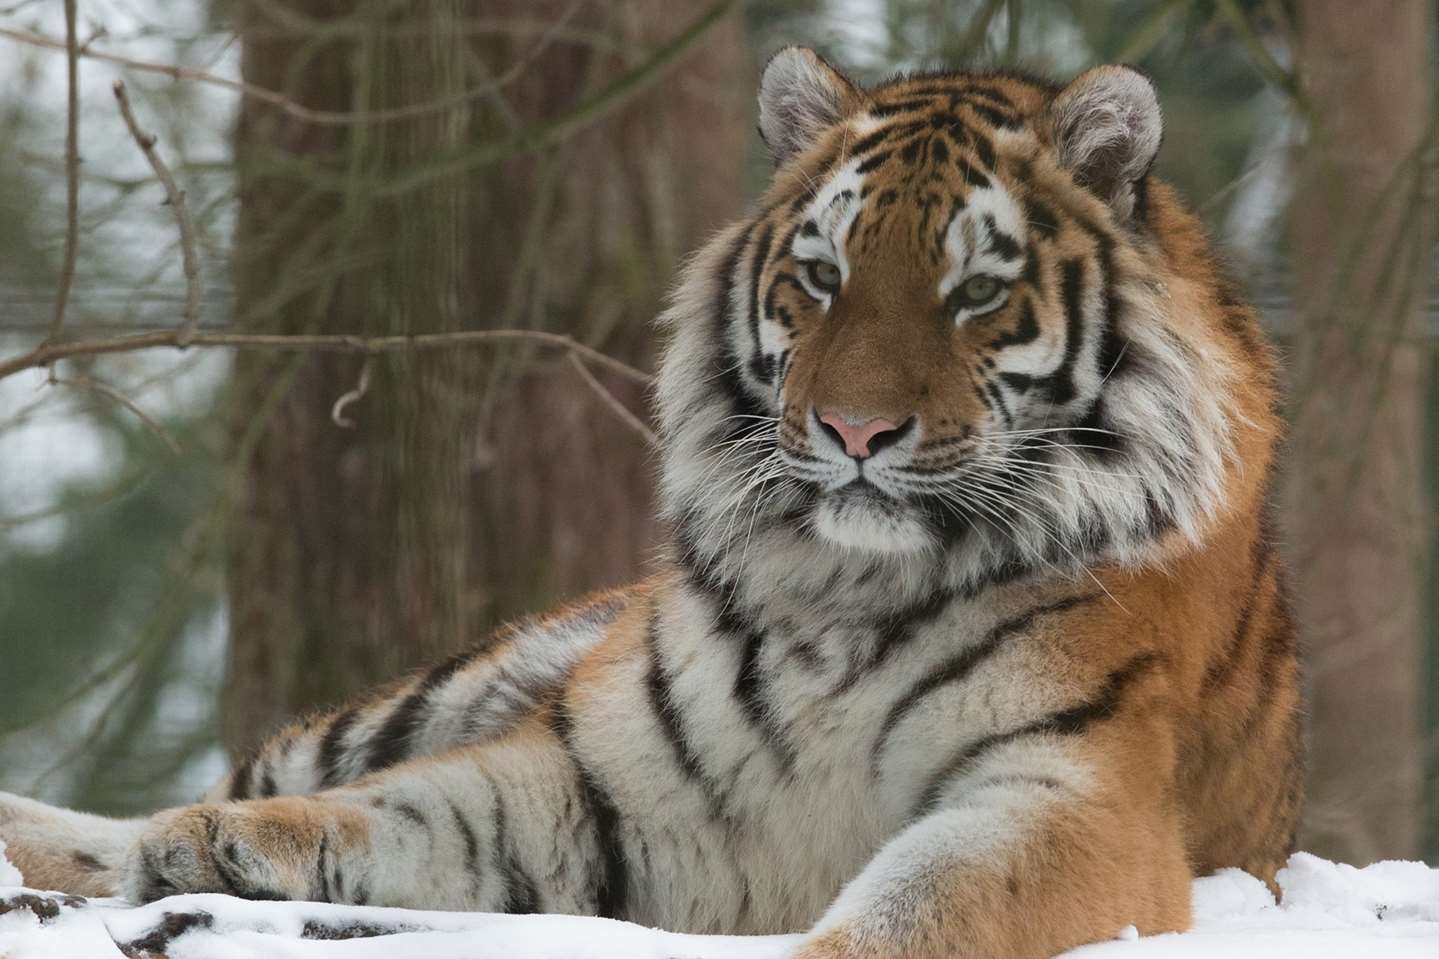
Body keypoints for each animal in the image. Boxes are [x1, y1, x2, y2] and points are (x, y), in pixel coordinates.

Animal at [2, 50, 1306, 956]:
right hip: (447, 683)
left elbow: (913, 912)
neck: (847, 589)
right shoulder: (610, 784)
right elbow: (404, 814)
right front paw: (231, 852)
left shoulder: (1065, 796)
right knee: (196, 799)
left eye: (975, 292)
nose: (854, 432)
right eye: (821, 275)